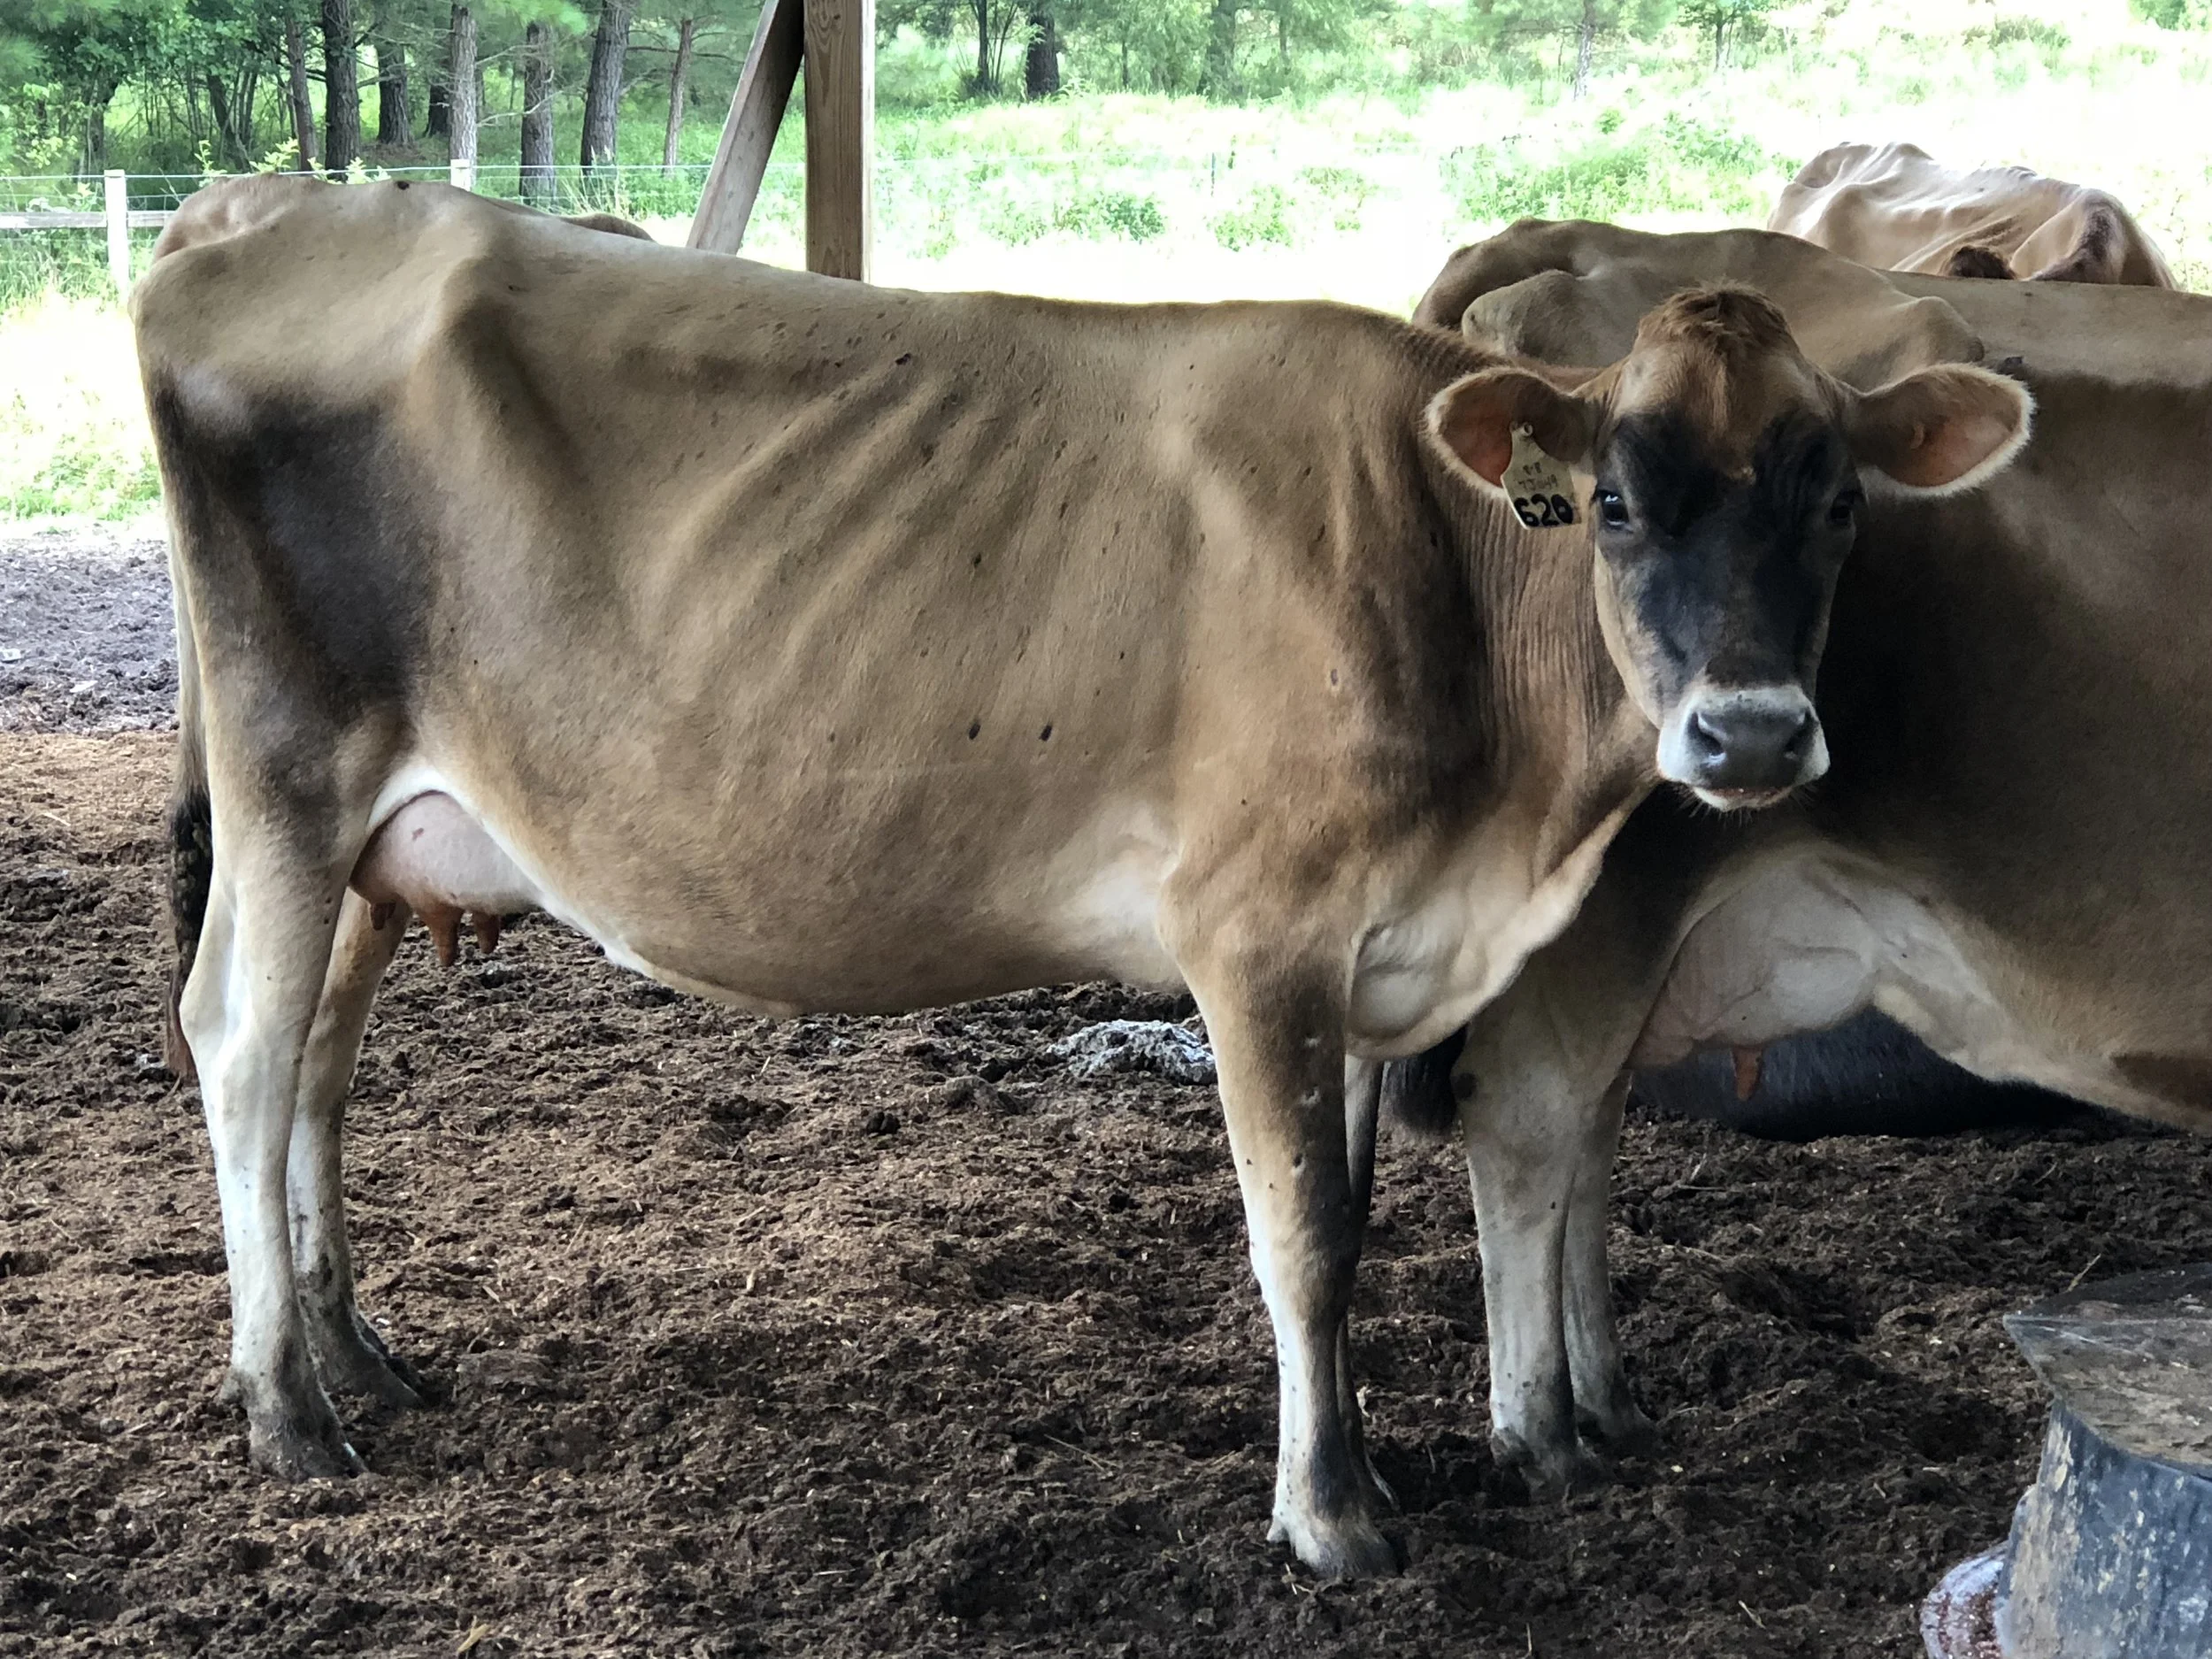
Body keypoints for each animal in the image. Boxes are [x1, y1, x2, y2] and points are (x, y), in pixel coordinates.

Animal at [135, 175, 2027, 1577]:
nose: (1754, 735)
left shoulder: (1371, 943)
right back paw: (288, 1411)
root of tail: (259, 212)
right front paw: (1332, 1519)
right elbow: (1302, 1230)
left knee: (319, 1064)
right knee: (241, 1039)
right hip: (290, 772)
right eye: (1618, 503)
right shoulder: (1256, 930)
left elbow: (1361, 1201)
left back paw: (355, 1354)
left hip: (375, 841)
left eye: (1840, 500)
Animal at [1391, 219, 2212, 1496]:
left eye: (1842, 503)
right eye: (1610, 501)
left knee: (1589, 1117)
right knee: (1533, 1109)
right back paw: (1542, 1433)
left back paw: (1607, 1404)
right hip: (1609, 905)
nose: (1753, 733)